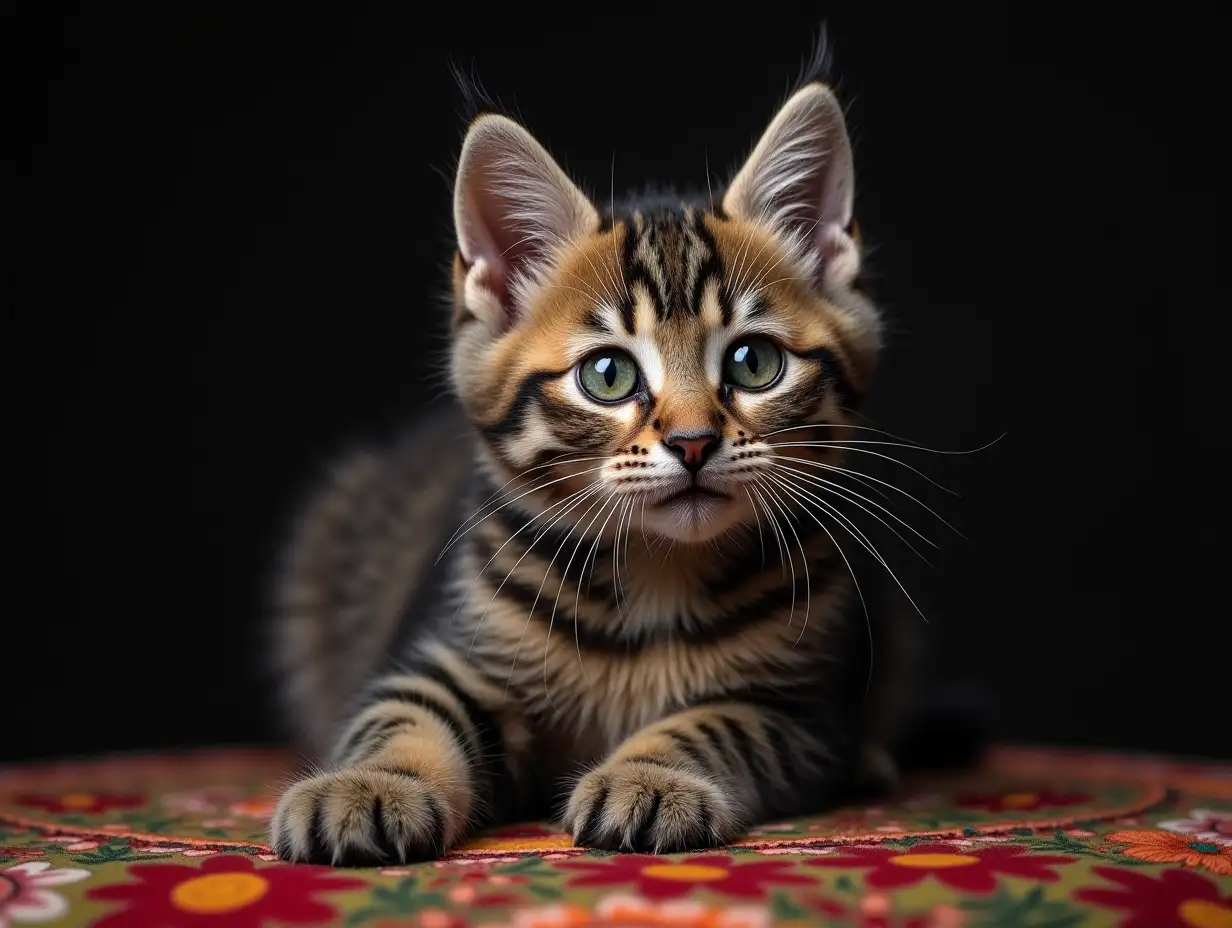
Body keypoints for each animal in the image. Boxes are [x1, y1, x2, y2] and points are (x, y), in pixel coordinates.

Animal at [272, 68, 941, 867]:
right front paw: (368, 785)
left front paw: (649, 777)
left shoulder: (798, 711)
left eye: (754, 363)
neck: (657, 571)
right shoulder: (445, 654)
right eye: (609, 376)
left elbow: (712, 723)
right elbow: (403, 713)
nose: (692, 441)